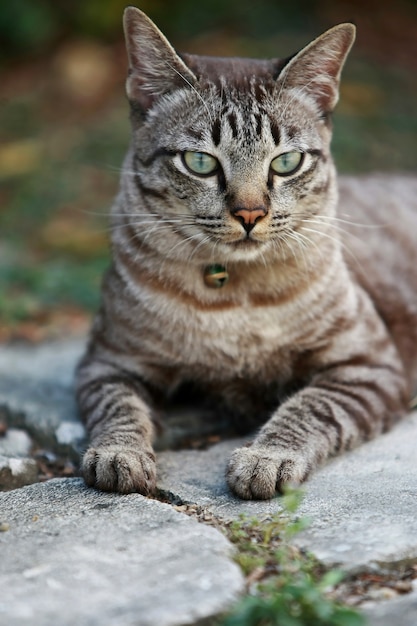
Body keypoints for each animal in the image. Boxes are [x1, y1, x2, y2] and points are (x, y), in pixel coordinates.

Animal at [76, 6, 416, 498]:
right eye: (200, 162)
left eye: (286, 162)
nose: (251, 214)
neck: (233, 296)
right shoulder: (108, 362)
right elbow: (118, 409)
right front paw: (119, 453)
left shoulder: (368, 364)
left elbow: (310, 407)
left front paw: (265, 457)